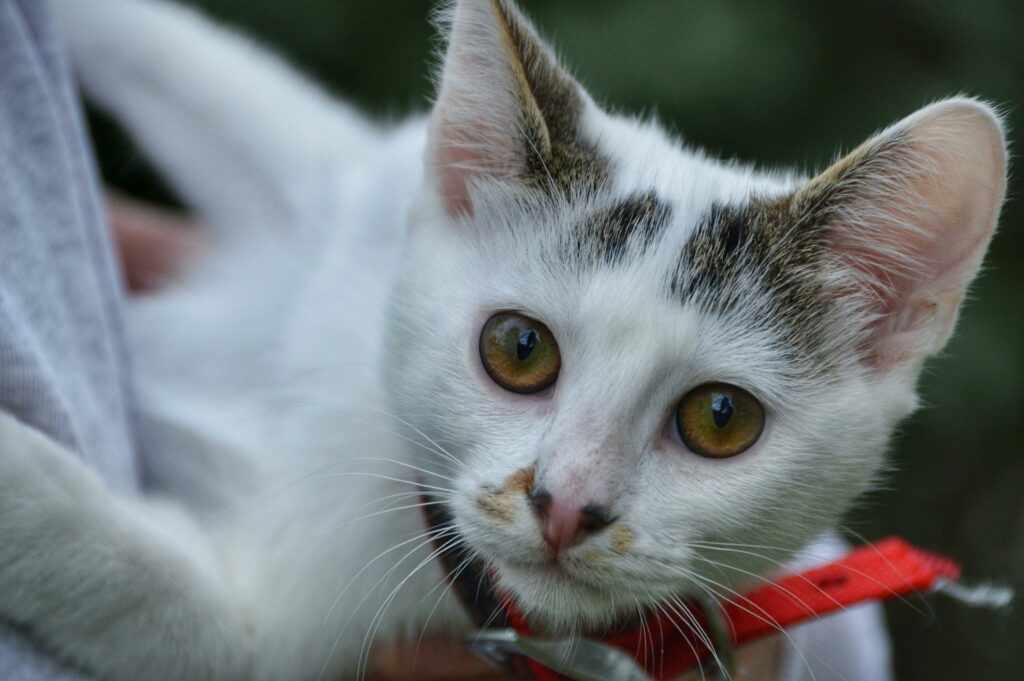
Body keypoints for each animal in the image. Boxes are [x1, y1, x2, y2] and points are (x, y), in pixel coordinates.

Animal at [0, 0, 1003, 675]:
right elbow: (206, 65)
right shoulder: (346, 172)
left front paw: (23, 484)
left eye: (721, 418)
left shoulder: (284, 639)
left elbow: (139, 581)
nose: (565, 506)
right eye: (520, 348)